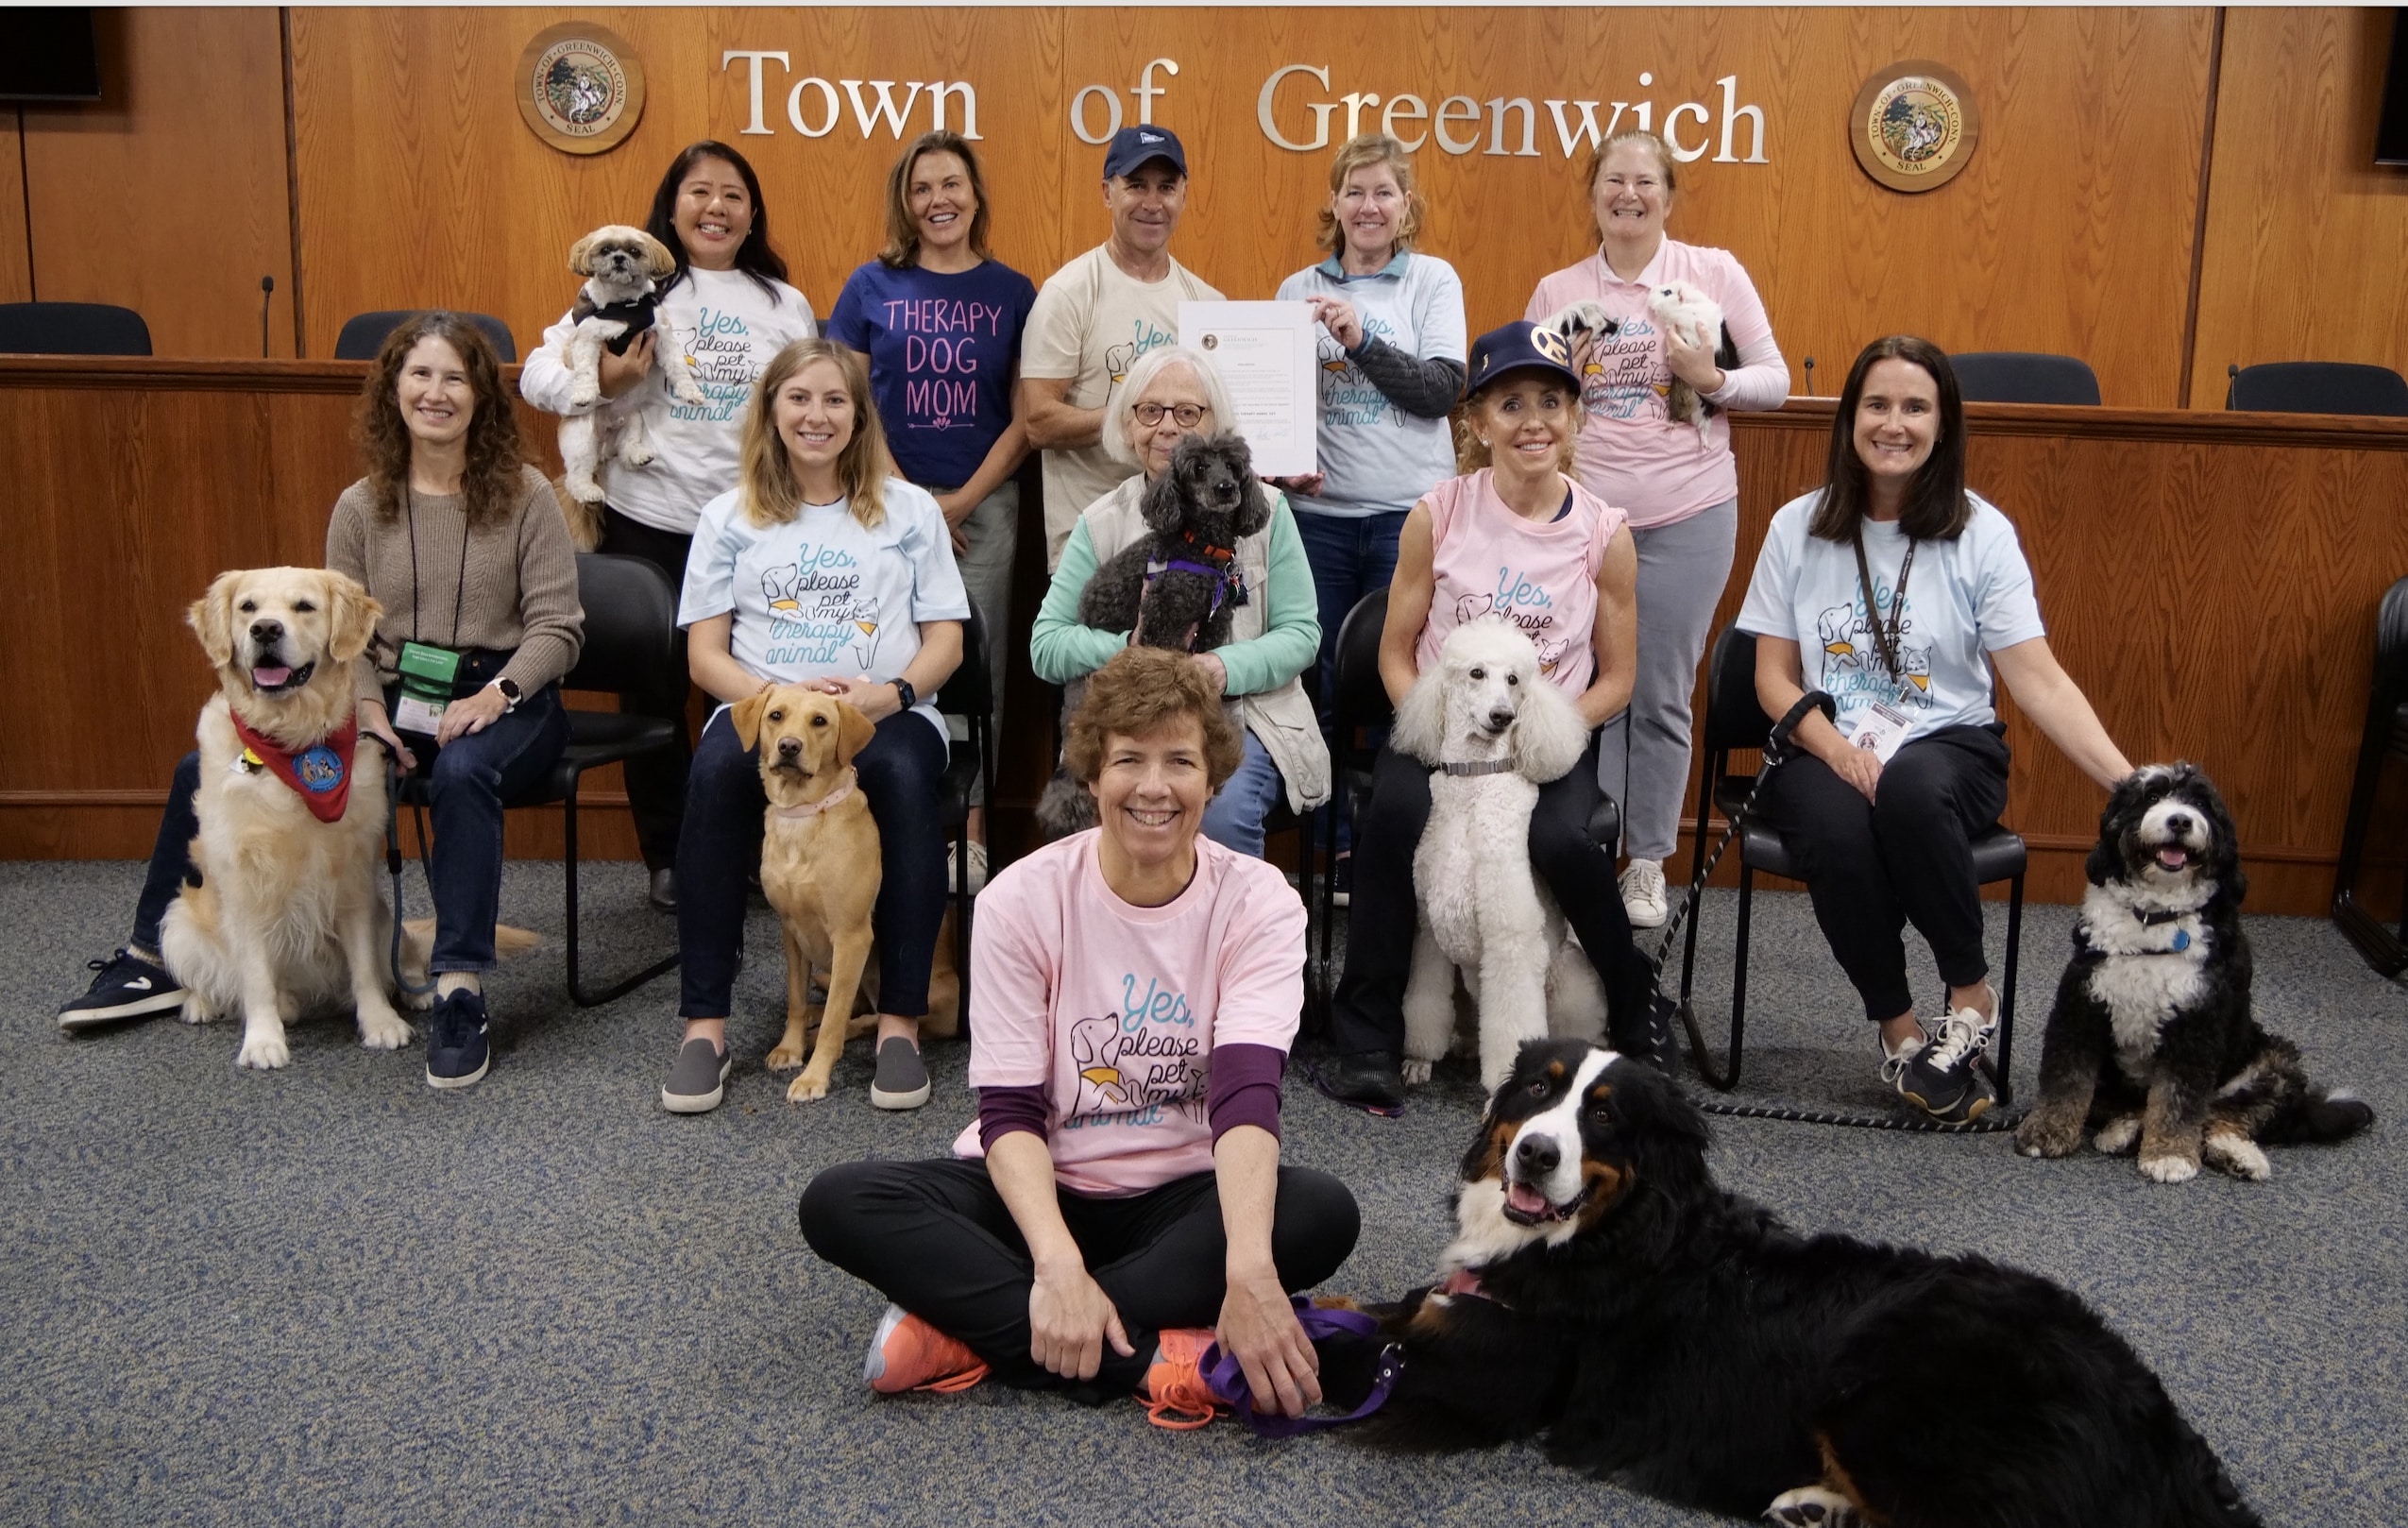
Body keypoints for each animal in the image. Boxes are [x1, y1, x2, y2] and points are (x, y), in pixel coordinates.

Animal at [558, 226, 707, 507]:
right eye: (606, 249)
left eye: (635, 251)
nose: (619, 258)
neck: (624, 306)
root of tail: (605, 441)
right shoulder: (588, 338)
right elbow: (585, 369)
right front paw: (584, 393)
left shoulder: (661, 335)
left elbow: (677, 366)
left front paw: (690, 391)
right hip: (581, 435)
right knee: (576, 474)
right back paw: (588, 491)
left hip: (634, 420)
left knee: (627, 447)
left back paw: (638, 456)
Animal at [1358, 1039, 2253, 1528]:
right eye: (1538, 1089)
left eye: (1604, 1116)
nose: (1536, 1153)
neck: (1610, 1234)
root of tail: (2152, 1419)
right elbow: (1358, 1308)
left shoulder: (1477, 1370)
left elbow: (1348, 1342)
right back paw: (1817, 1507)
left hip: (1883, 1392)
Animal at [1397, 616, 1599, 1092]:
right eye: (1476, 673)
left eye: (1514, 680)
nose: (1502, 716)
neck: (1475, 781)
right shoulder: (1429, 928)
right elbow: (1425, 1003)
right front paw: (1419, 1060)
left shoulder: (1511, 939)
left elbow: (1512, 1025)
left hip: (1564, 976)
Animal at [2012, 765, 2369, 1183]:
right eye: (2151, 797)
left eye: (2201, 803)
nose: (2180, 820)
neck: (2155, 919)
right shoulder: (2081, 1007)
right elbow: (2066, 1080)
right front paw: (2046, 1131)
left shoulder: (2196, 1027)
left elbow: (2179, 1100)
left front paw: (2169, 1155)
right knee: (2131, 1107)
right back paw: (2123, 1131)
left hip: (2273, 1061)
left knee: (2225, 1115)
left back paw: (2237, 1154)